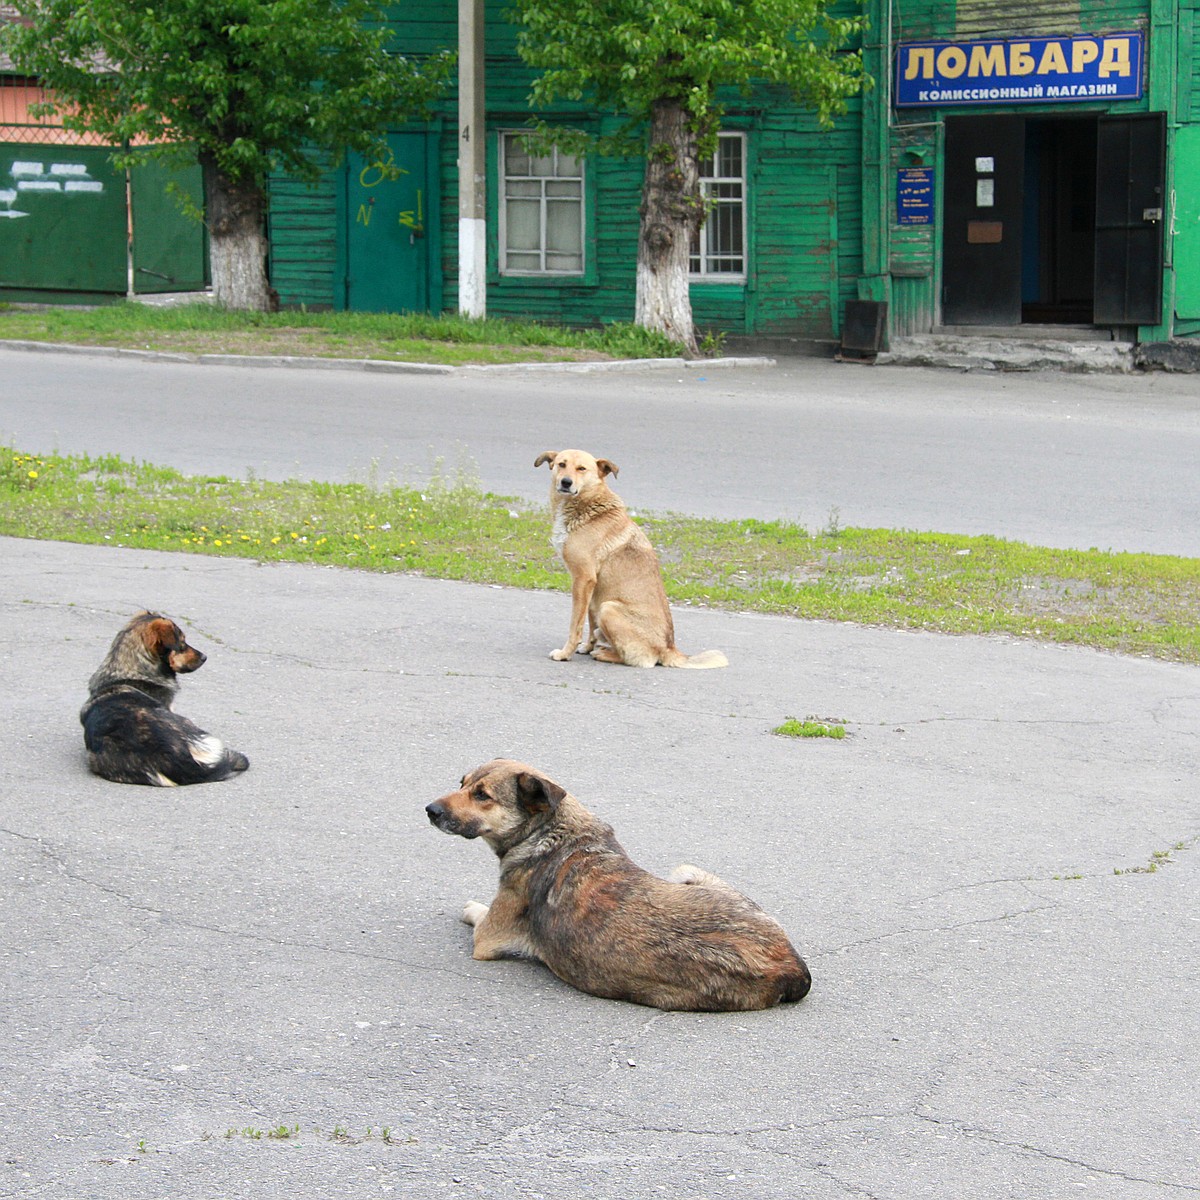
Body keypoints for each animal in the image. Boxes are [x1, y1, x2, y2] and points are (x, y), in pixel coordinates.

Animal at [427, 758, 811, 1012]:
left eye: (482, 795)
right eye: (461, 783)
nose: (430, 810)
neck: (552, 831)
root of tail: (791, 965)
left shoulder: (487, 937)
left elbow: (477, 913)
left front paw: (471, 906)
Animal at [537, 451, 724, 672]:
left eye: (581, 468)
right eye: (561, 464)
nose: (566, 482)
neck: (589, 505)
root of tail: (669, 649)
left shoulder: (583, 579)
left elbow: (575, 624)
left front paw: (566, 653)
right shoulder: (592, 588)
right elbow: (589, 622)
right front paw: (586, 646)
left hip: (608, 608)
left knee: (642, 660)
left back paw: (604, 654)